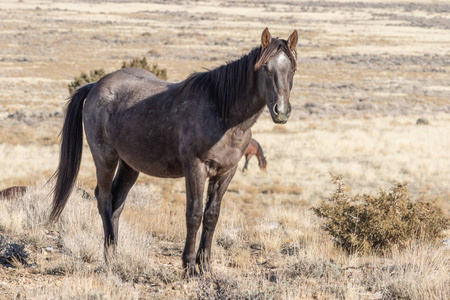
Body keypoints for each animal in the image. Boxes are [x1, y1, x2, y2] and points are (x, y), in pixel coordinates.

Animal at [50, 28, 298, 276]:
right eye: (264, 67)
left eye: (293, 69)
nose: (281, 112)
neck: (223, 113)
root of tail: (95, 85)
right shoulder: (195, 168)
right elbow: (194, 214)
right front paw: (189, 265)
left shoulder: (226, 172)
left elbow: (211, 215)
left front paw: (205, 265)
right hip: (105, 158)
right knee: (104, 199)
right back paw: (110, 256)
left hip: (130, 165)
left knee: (118, 203)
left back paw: (116, 254)